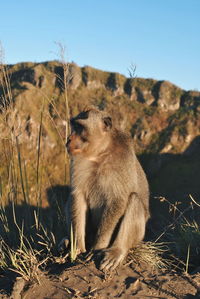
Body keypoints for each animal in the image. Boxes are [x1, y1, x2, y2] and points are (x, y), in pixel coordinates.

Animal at [63, 107, 149, 272]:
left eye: (80, 127)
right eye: (74, 126)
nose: (69, 139)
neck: (100, 153)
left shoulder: (123, 160)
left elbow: (118, 200)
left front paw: (98, 247)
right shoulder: (78, 160)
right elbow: (77, 195)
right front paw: (77, 246)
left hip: (139, 236)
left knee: (134, 199)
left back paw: (117, 250)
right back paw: (66, 241)